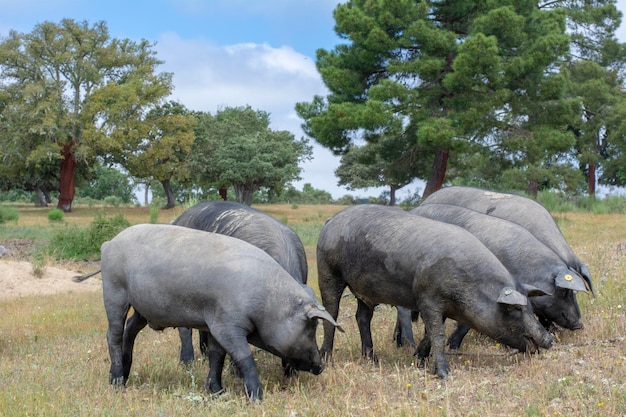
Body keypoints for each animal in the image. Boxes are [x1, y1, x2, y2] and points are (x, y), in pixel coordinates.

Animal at [83, 223, 338, 402]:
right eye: (311, 326)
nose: (320, 366)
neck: (266, 302)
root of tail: (109, 243)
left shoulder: (215, 322)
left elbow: (217, 356)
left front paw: (217, 392)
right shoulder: (227, 324)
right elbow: (244, 356)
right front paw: (257, 399)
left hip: (143, 308)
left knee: (130, 330)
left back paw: (125, 373)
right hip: (114, 291)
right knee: (113, 334)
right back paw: (117, 382)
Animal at [316, 205, 552, 376]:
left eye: (531, 308)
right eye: (515, 309)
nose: (549, 338)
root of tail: (331, 221)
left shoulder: (442, 307)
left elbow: (430, 334)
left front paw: (418, 359)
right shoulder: (427, 298)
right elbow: (437, 333)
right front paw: (443, 374)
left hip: (364, 290)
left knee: (362, 317)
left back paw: (372, 359)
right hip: (328, 270)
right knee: (331, 312)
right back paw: (328, 359)